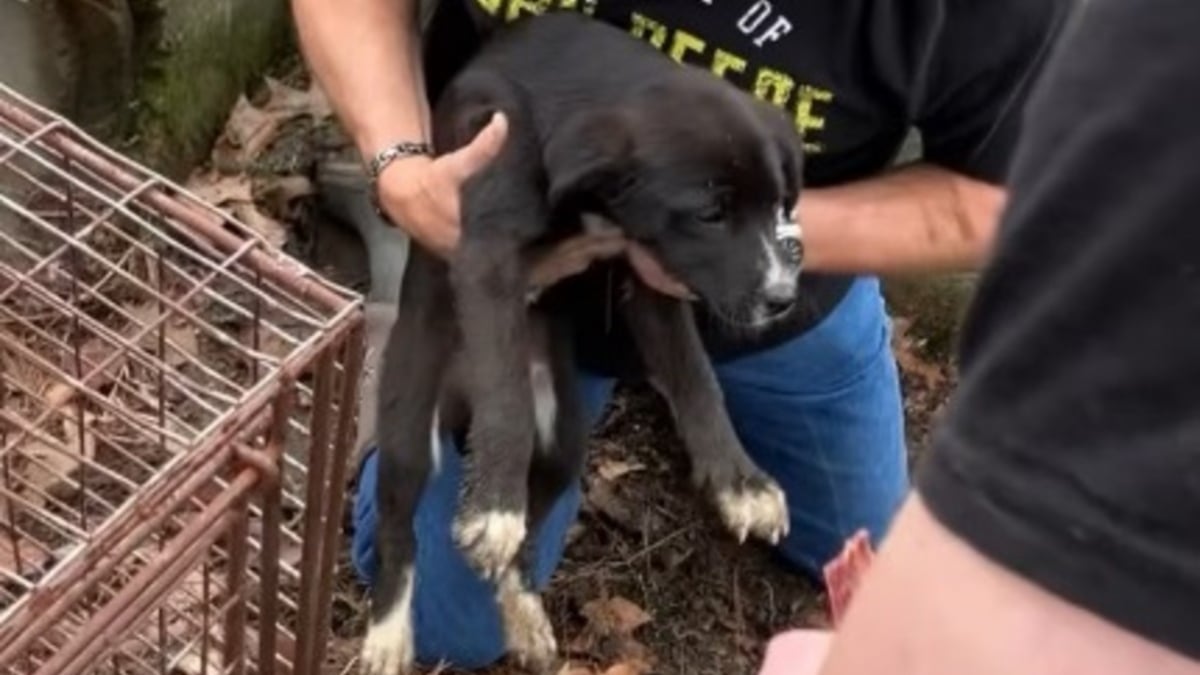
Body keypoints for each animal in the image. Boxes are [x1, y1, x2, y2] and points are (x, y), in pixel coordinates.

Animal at [360, 11, 801, 672]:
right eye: (710, 213)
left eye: (777, 206)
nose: (782, 298)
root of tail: (457, 403)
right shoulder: (486, 255)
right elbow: (506, 393)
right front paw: (493, 508)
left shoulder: (650, 277)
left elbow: (697, 379)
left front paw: (742, 485)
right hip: (410, 422)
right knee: (397, 531)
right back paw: (387, 636)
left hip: (566, 442)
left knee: (528, 535)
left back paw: (525, 617)